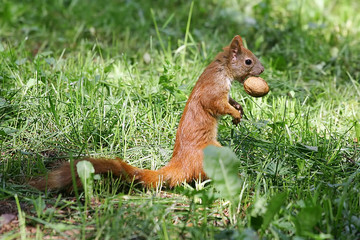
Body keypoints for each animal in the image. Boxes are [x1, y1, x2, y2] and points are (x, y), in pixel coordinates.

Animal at [30, 34, 264, 190]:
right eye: (248, 61)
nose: (262, 70)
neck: (221, 69)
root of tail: (179, 165)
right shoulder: (213, 89)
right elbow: (216, 104)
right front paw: (234, 113)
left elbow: (229, 101)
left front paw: (238, 108)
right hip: (213, 153)